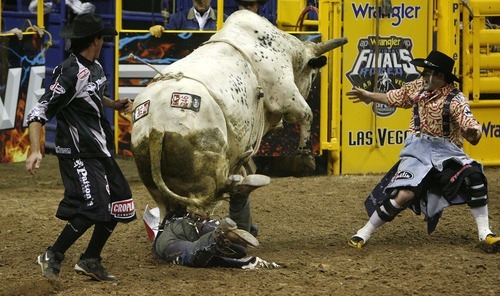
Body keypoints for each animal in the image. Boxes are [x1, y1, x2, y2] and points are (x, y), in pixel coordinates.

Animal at [131, 9, 346, 220]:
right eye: (313, 74)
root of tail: (156, 126)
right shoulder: (285, 95)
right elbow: (306, 115)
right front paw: (305, 155)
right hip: (206, 177)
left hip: (156, 185)